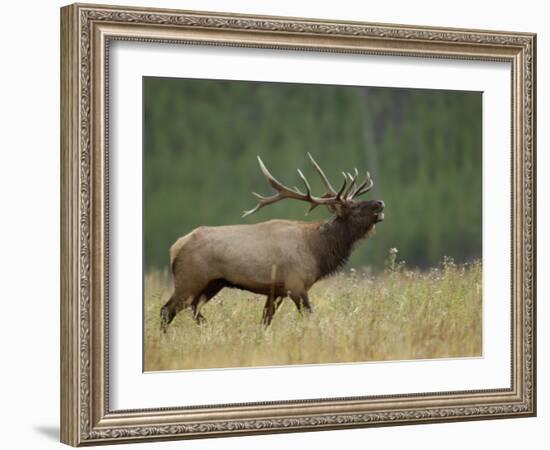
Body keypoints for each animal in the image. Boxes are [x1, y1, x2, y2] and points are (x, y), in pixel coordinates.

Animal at [158, 153, 384, 332]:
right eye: (353, 207)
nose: (380, 203)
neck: (317, 250)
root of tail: (175, 247)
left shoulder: (277, 290)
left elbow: (266, 320)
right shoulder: (296, 284)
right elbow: (309, 315)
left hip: (213, 283)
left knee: (193, 309)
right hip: (189, 279)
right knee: (167, 310)